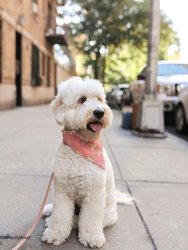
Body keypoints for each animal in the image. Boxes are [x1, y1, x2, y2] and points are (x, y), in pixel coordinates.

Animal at [41, 76, 132, 248]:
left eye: (99, 99)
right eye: (82, 99)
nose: (100, 112)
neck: (82, 148)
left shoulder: (94, 194)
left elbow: (89, 219)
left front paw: (91, 237)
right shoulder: (62, 191)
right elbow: (60, 215)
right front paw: (55, 233)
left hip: (107, 215)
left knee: (78, 221)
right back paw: (49, 213)